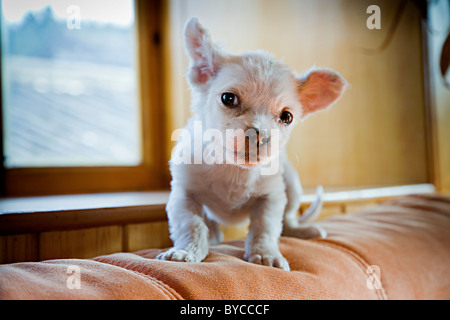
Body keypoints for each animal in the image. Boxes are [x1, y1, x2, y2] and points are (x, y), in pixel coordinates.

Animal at [158, 18, 348, 270]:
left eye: (286, 117)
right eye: (228, 98)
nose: (258, 135)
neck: (233, 170)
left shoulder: (271, 199)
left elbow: (265, 228)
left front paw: (266, 254)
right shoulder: (183, 196)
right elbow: (191, 225)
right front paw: (186, 250)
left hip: (292, 184)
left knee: (287, 221)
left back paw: (305, 231)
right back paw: (213, 237)